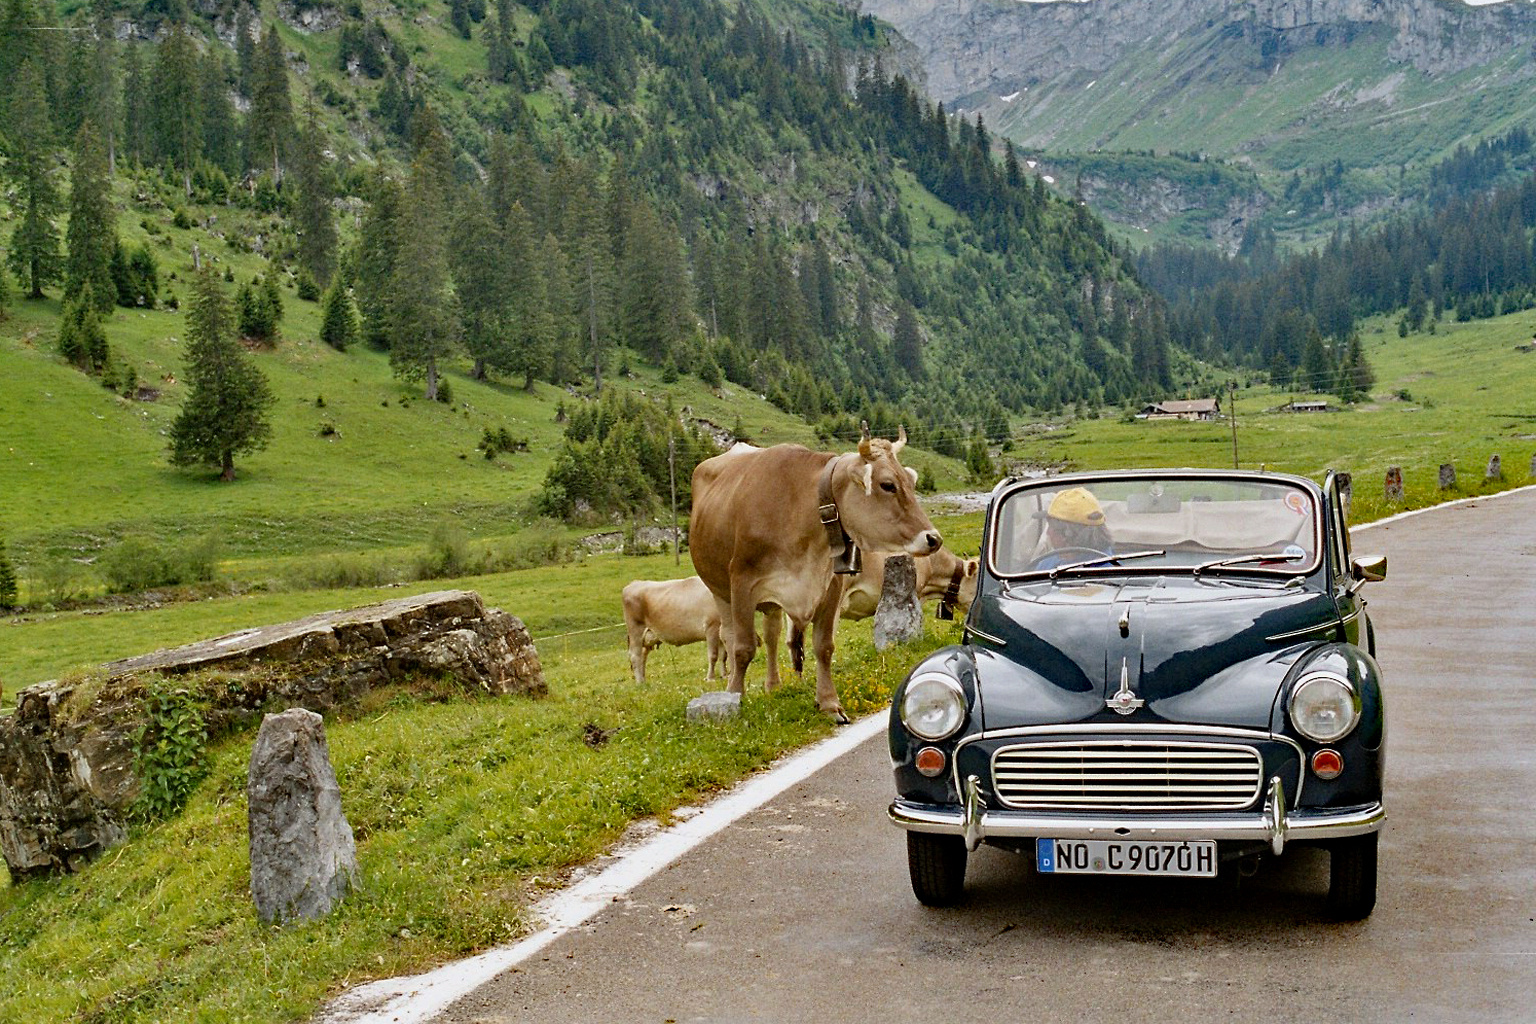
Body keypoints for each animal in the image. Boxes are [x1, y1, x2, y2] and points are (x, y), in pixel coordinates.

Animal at [691, 429, 940, 724]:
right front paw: (736, 698)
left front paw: (830, 703)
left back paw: (773, 686)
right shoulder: (742, 582)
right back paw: (734, 689)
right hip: (719, 589)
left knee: (772, 635)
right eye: (888, 485)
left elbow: (823, 646)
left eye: (910, 483)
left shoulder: (831, 585)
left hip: (772, 602)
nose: (934, 539)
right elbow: (743, 648)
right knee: (731, 638)